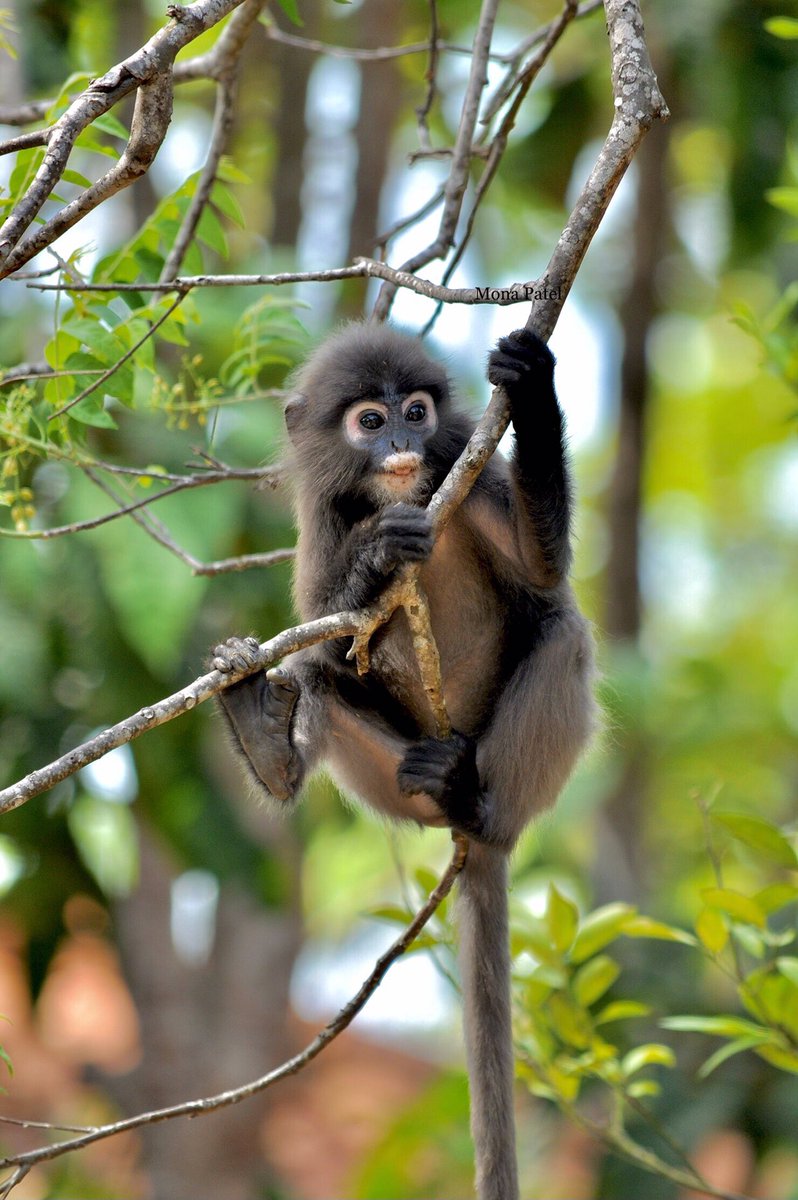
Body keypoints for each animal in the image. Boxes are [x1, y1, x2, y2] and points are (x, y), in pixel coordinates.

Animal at [210, 322, 596, 1200]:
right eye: (369, 420)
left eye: (416, 412)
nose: (401, 445)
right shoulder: (324, 521)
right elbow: (327, 632)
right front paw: (379, 559)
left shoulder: (466, 478)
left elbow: (542, 569)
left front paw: (531, 382)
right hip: (393, 776)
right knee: (316, 674)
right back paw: (264, 736)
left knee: (561, 627)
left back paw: (475, 800)